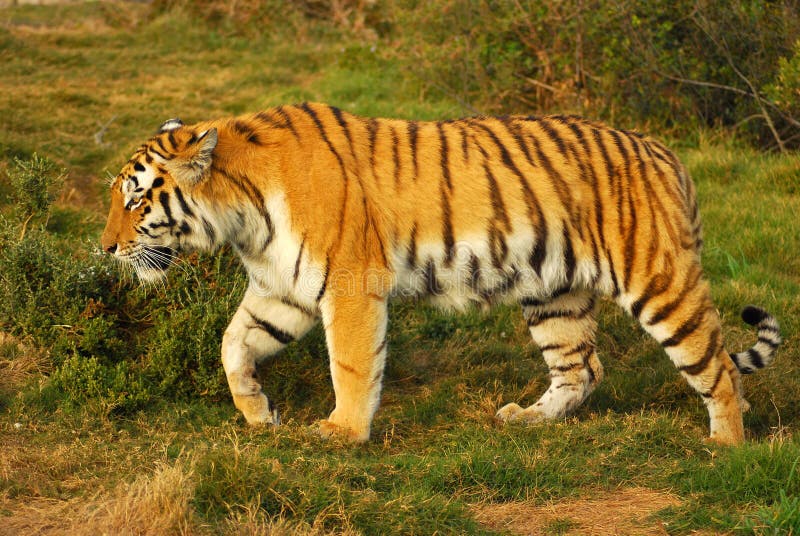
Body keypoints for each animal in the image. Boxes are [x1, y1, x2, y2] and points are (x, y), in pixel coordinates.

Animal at [100, 102, 780, 446]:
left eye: (134, 199)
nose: (105, 249)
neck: (241, 212)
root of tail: (666, 153)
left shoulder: (348, 282)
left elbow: (351, 365)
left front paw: (341, 433)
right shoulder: (281, 289)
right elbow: (233, 345)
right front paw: (257, 414)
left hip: (657, 281)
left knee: (717, 366)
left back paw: (726, 445)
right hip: (555, 293)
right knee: (582, 367)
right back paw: (528, 419)